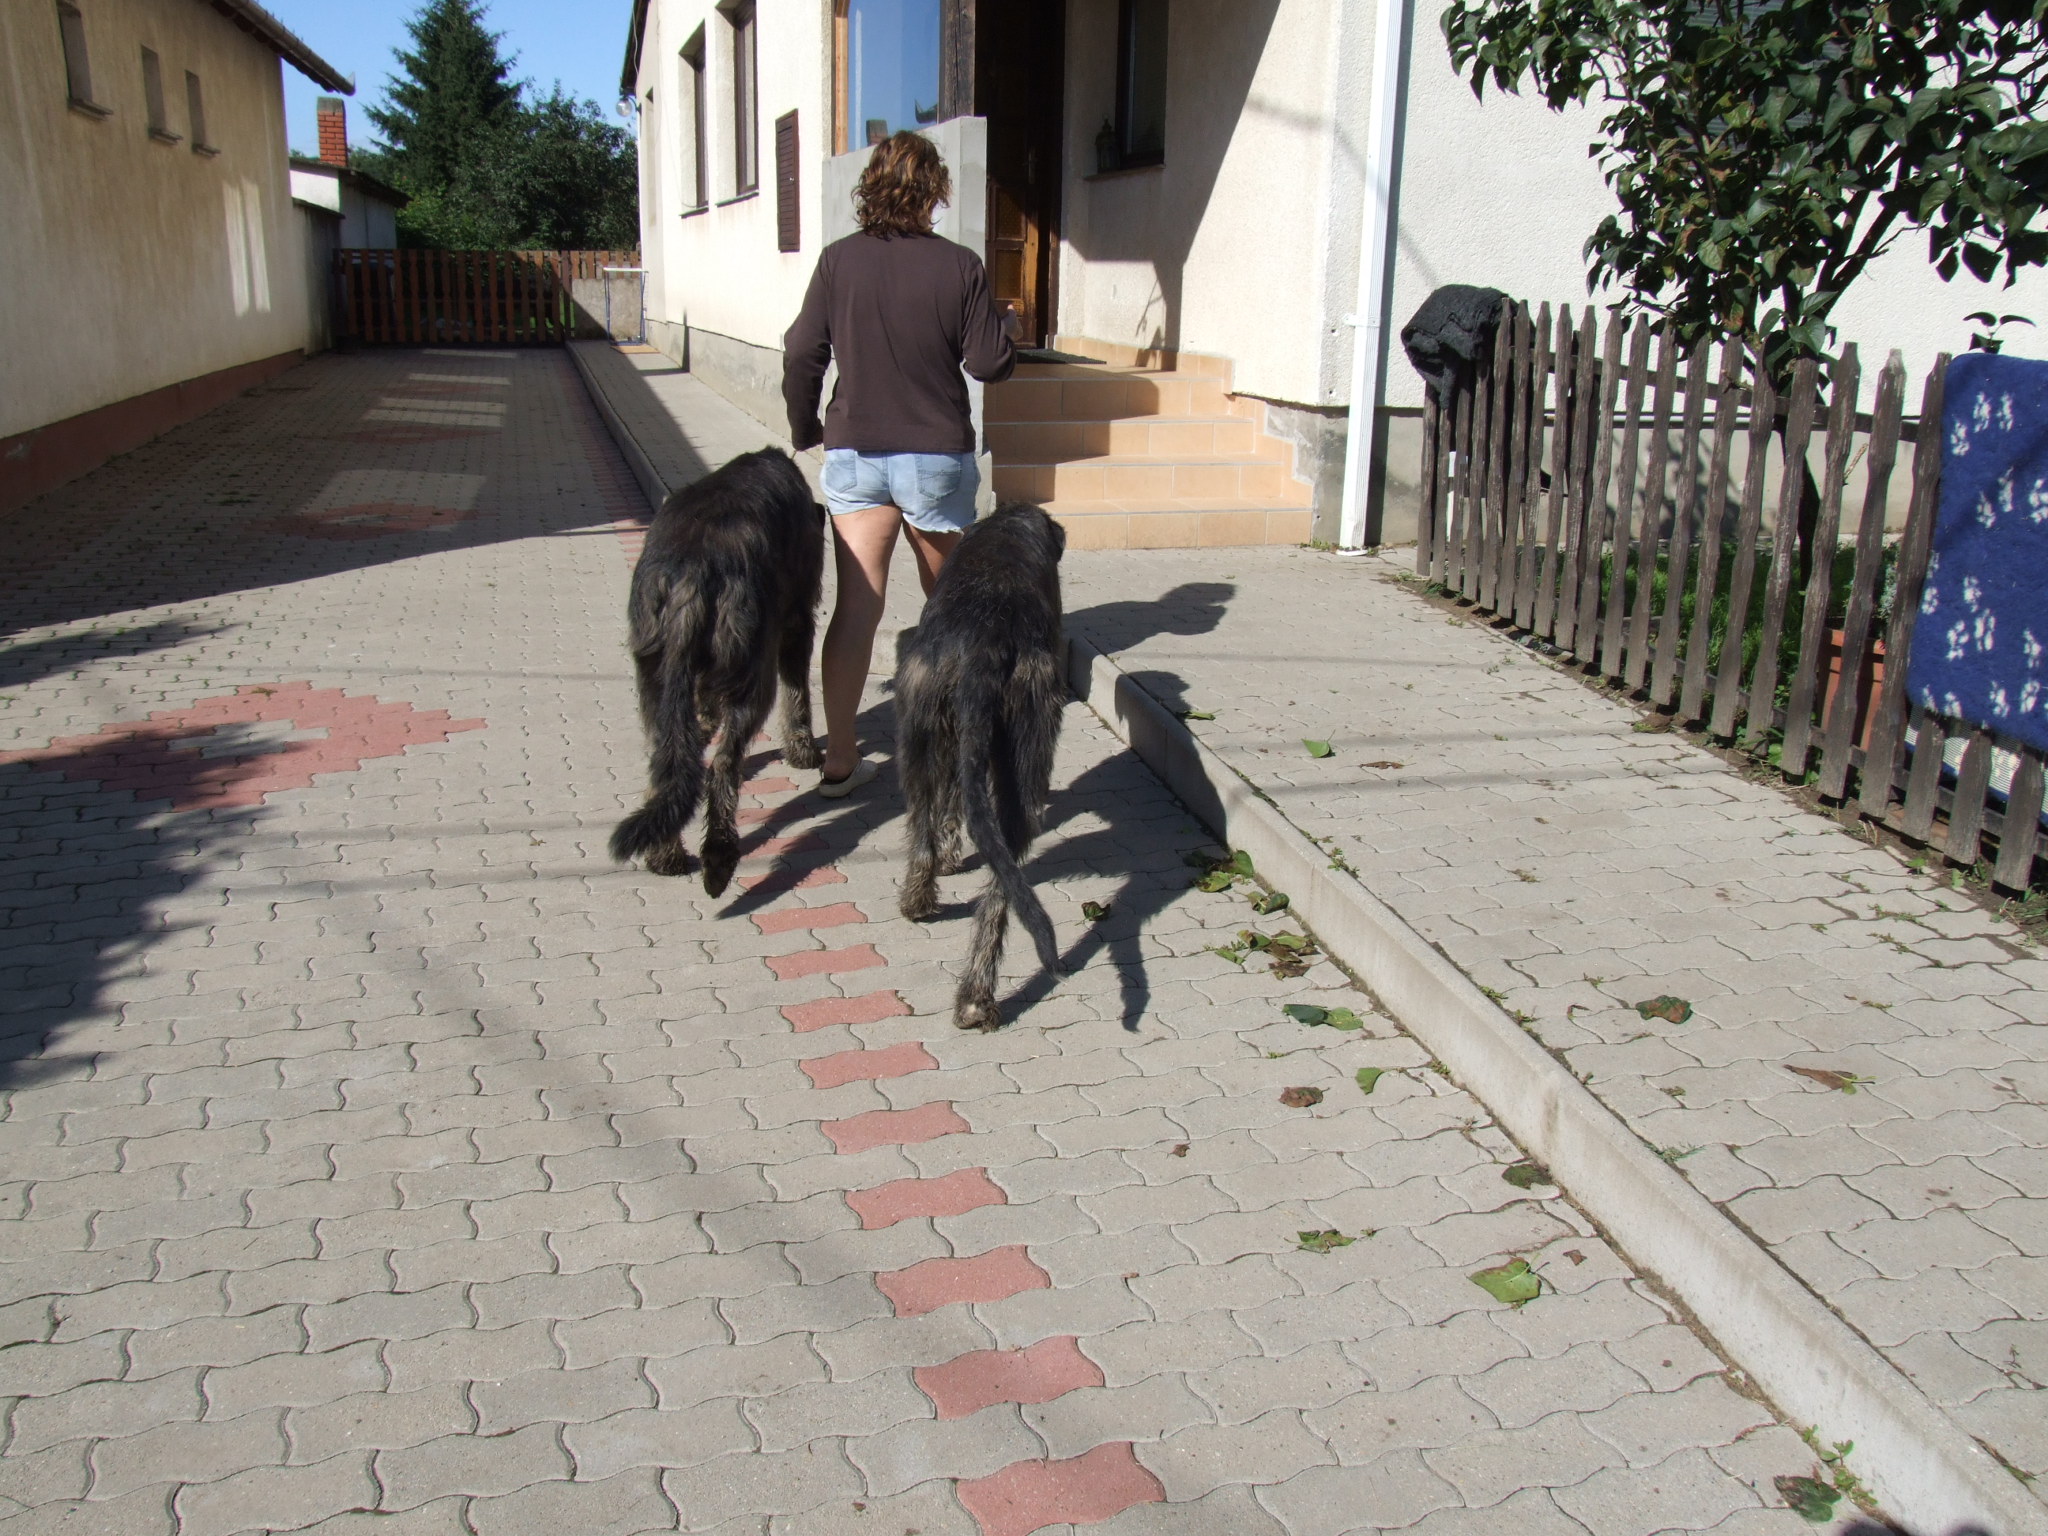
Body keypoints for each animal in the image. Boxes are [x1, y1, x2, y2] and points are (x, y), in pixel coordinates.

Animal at [611, 448, 824, 897]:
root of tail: (690, 573)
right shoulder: (796, 620)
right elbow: (797, 691)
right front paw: (802, 751)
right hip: (751, 671)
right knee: (723, 766)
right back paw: (719, 858)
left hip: (655, 669)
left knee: (668, 756)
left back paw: (664, 853)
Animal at [894, 502, 1068, 1030]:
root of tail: (984, 647)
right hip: (1024, 750)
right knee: (997, 889)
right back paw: (975, 996)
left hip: (918, 732)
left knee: (923, 828)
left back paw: (918, 903)